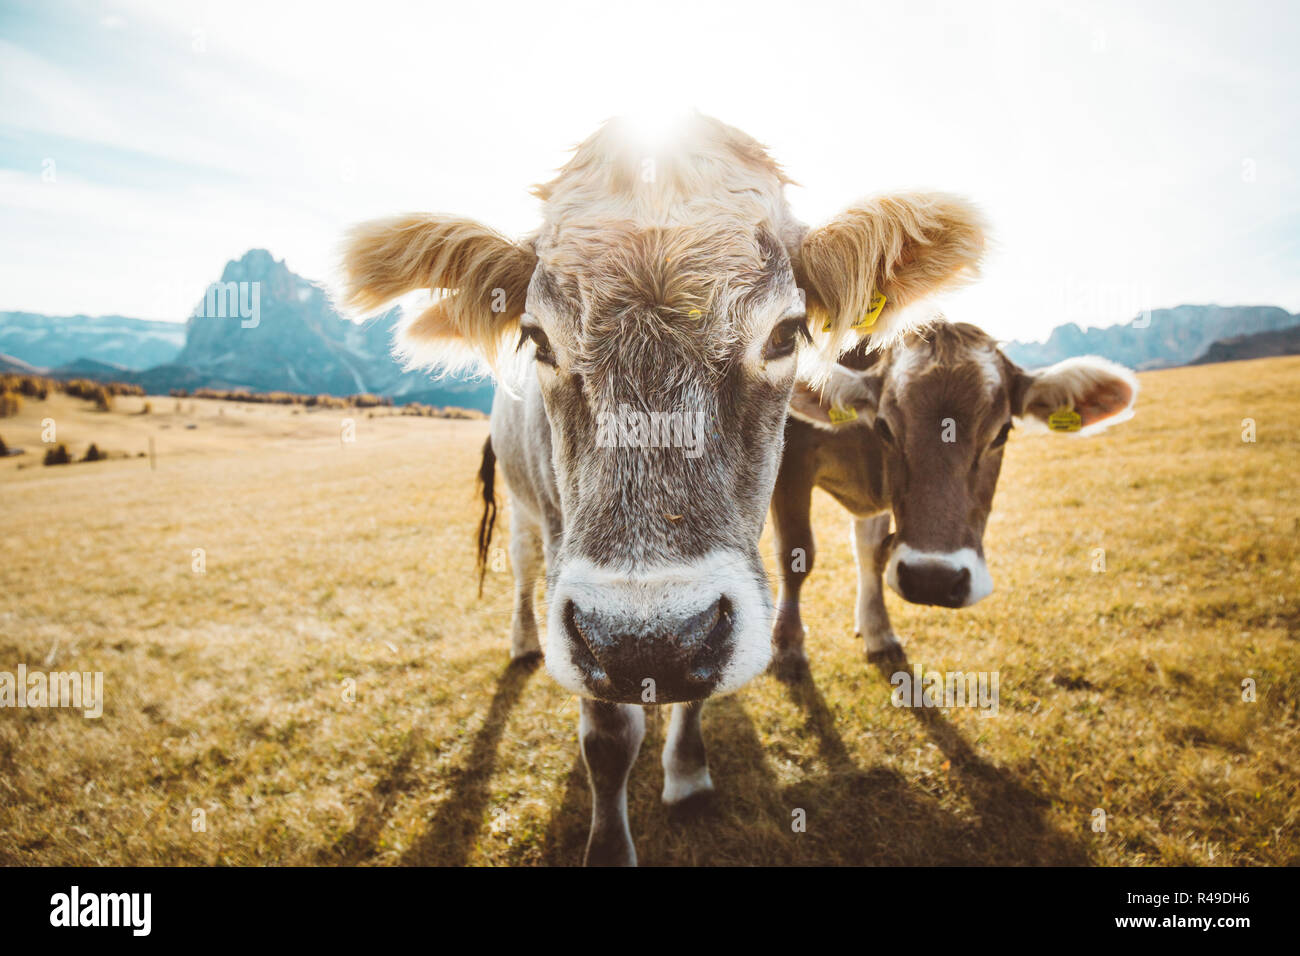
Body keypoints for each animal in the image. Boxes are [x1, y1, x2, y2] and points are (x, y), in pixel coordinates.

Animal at [340, 114, 986, 865]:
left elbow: (695, 692)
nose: (647, 642)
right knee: (521, 571)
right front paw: (610, 841)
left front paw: (686, 773)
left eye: (786, 333)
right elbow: (608, 738)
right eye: (537, 339)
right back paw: (524, 641)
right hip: (526, 514)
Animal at [769, 318, 1138, 677]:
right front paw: (787, 645)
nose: (932, 580)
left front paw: (878, 632)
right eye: (885, 428)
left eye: (1002, 432)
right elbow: (796, 555)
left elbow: (871, 552)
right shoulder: (789, 461)